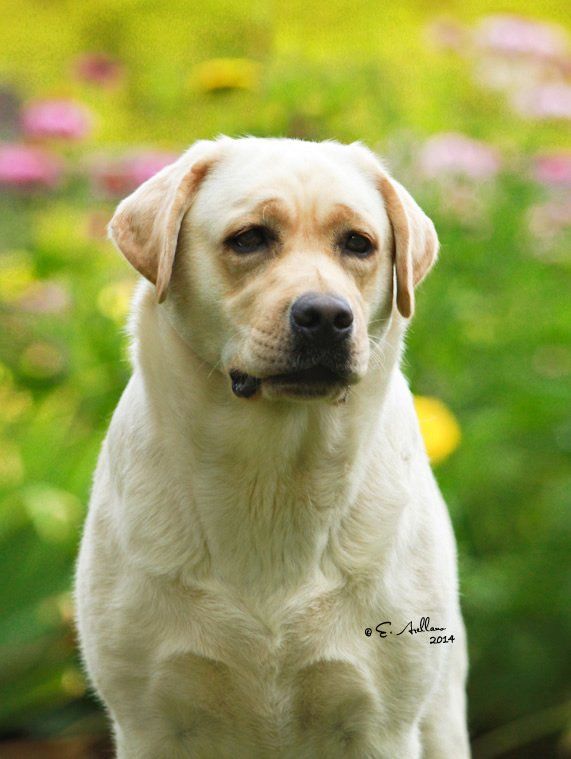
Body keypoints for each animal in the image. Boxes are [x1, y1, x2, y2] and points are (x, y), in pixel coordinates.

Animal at [75, 136, 470, 758]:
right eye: (250, 238)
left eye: (358, 244)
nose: (326, 316)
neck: (273, 473)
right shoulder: (149, 722)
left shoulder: (381, 723)